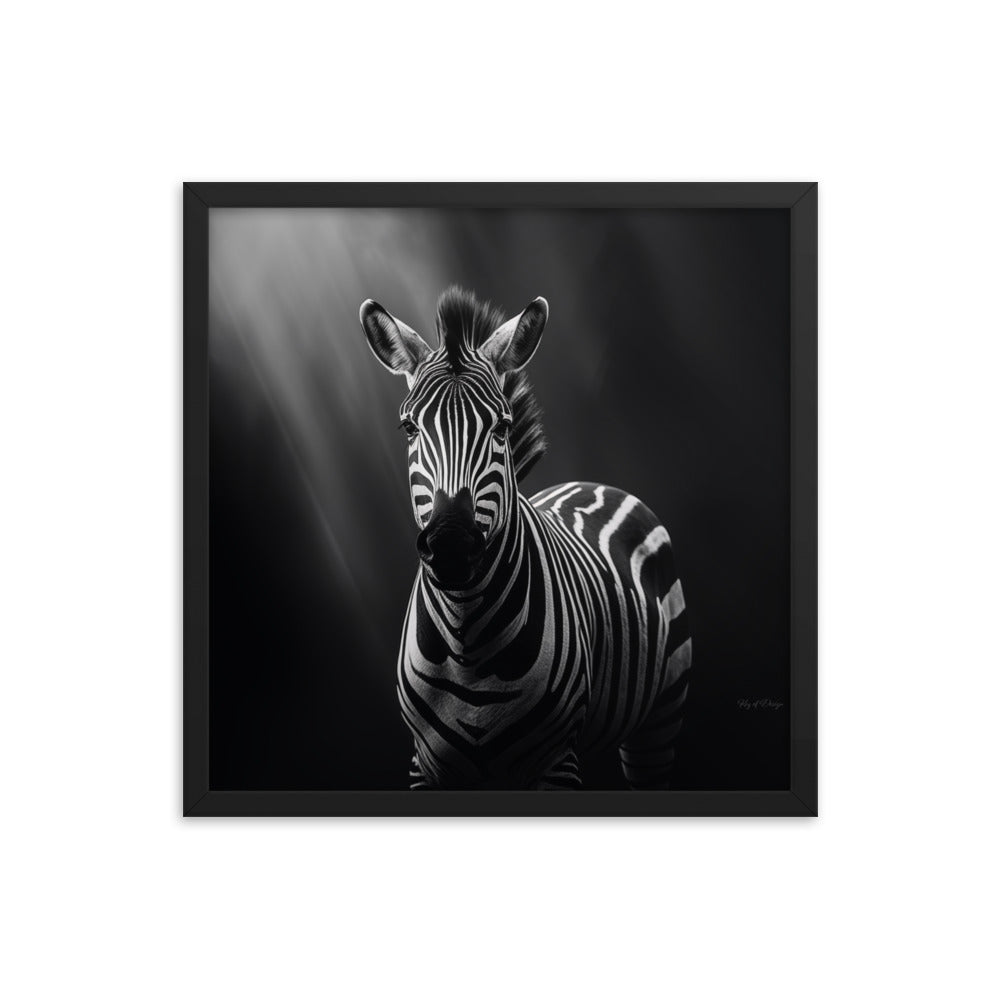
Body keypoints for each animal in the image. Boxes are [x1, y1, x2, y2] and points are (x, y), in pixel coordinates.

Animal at [359, 286, 692, 789]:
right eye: (409, 427)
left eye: (501, 426)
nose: (451, 547)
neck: (466, 642)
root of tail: (596, 484)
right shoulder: (424, 762)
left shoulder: (555, 761)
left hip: (659, 722)